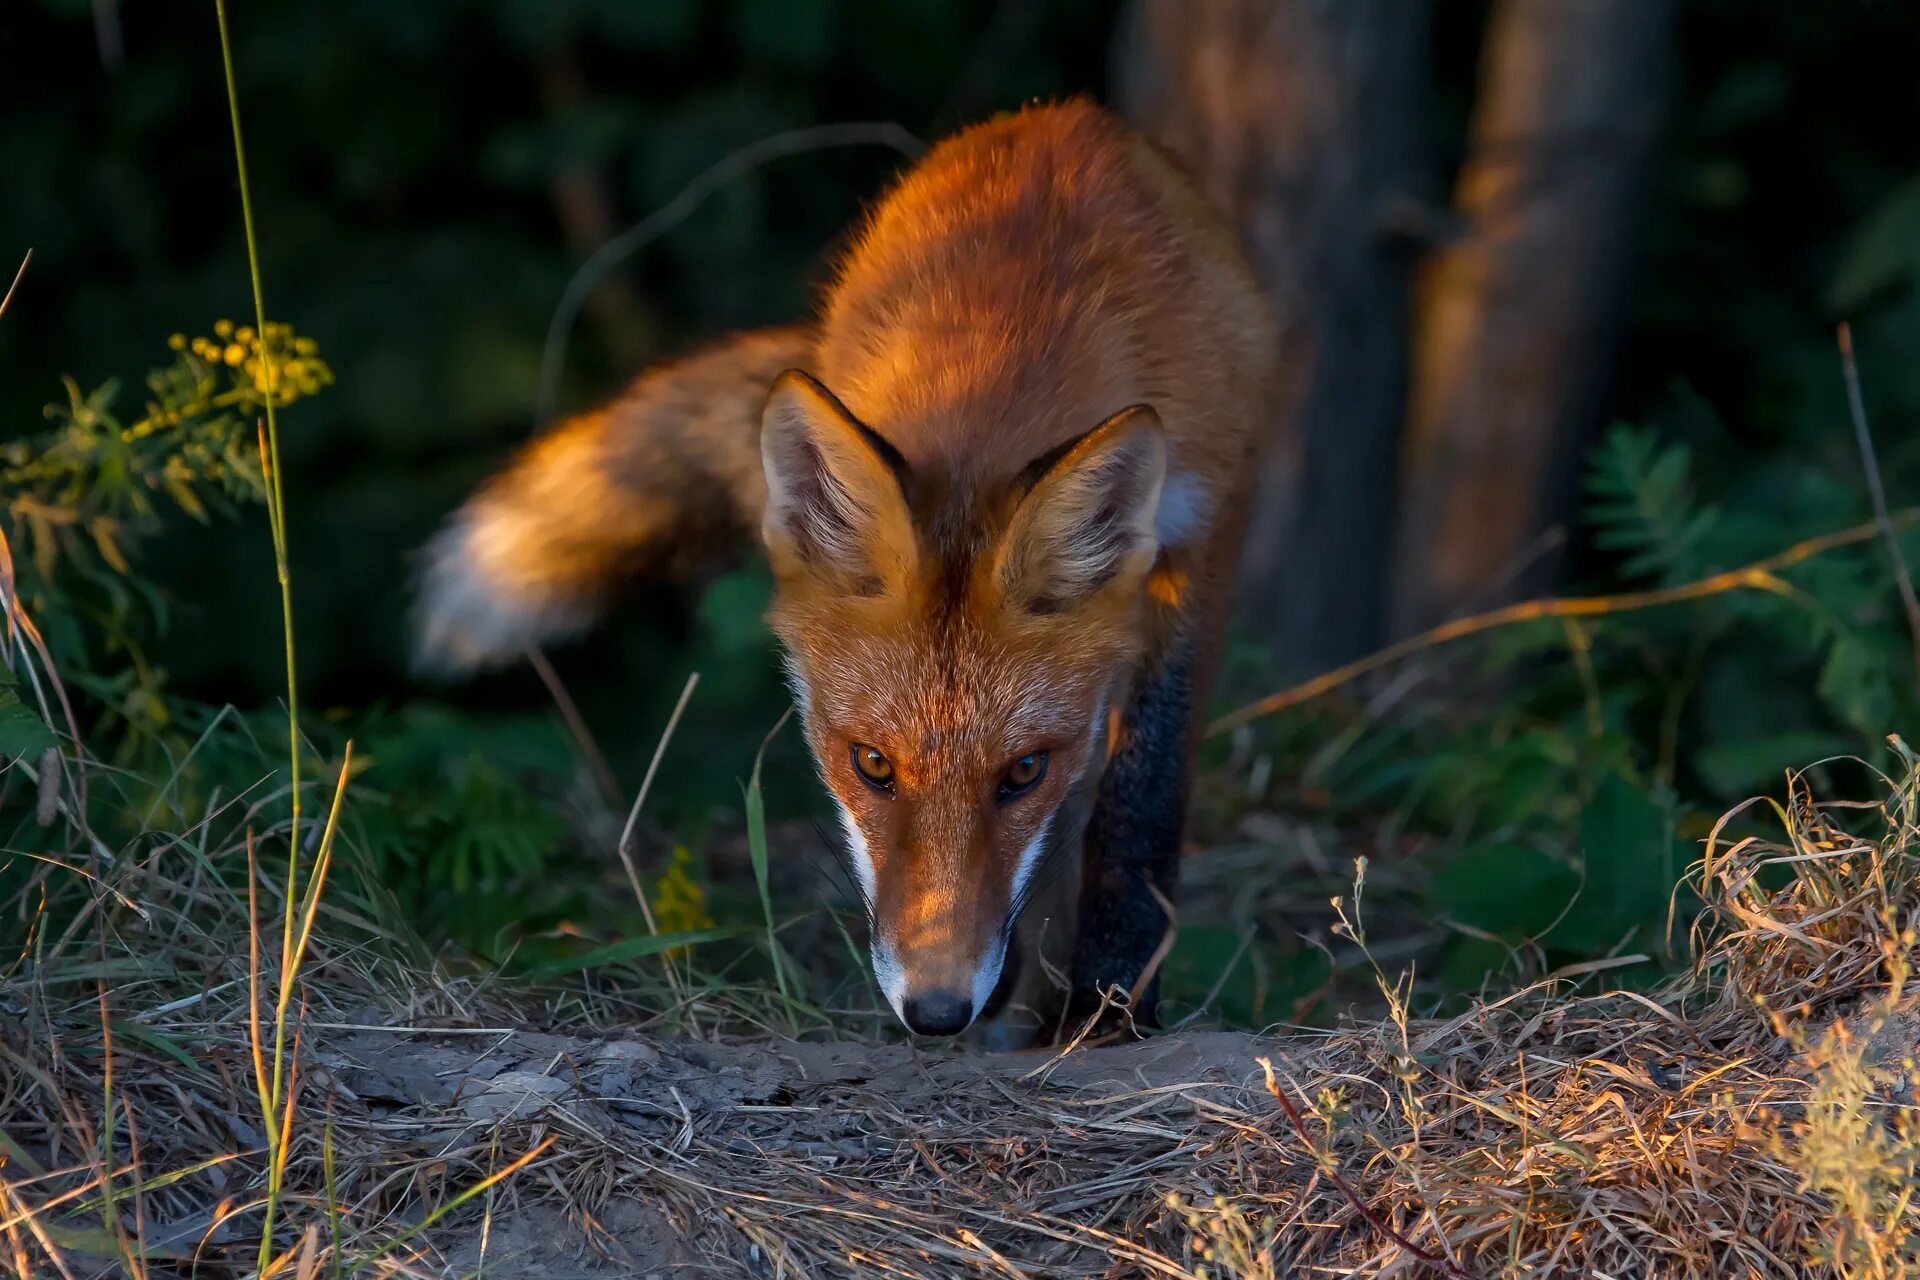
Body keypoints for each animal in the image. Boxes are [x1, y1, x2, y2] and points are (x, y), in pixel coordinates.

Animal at [412, 97, 1274, 1043]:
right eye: (870, 765)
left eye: (1021, 772)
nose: (936, 1011)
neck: (1011, 337)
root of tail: (1056, 113)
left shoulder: (1205, 527)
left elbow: (1142, 794)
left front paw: (1112, 1001)